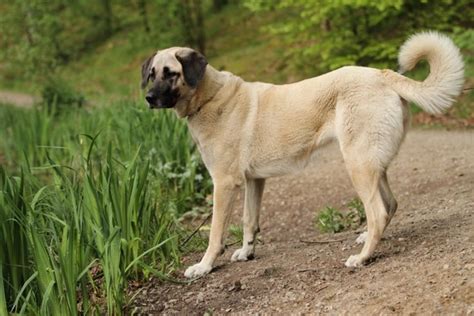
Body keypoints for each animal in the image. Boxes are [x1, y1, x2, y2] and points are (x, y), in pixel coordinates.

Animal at [140, 32, 462, 278]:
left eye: (171, 73)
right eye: (152, 74)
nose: (149, 98)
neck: (208, 97)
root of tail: (383, 75)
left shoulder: (225, 184)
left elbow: (215, 232)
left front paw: (204, 266)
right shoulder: (254, 181)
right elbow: (249, 220)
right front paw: (246, 251)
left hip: (358, 163)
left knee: (378, 211)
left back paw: (362, 256)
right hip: (371, 163)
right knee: (390, 204)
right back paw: (366, 237)